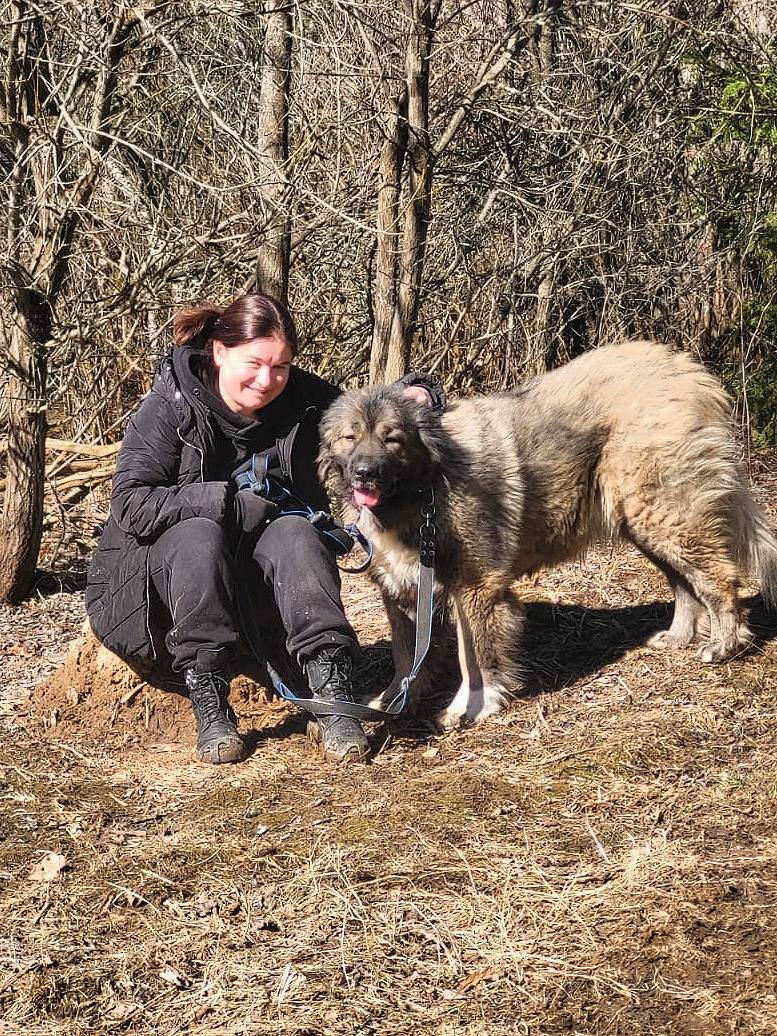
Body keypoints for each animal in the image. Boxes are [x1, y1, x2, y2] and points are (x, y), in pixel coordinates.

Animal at [319, 342, 777, 728]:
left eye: (392, 439)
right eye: (350, 437)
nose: (365, 473)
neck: (424, 488)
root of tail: (689, 372)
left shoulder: (475, 588)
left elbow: (475, 658)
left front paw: (473, 707)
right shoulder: (404, 593)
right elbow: (406, 657)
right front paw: (396, 701)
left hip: (666, 516)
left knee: (717, 579)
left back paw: (726, 643)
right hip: (641, 521)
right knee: (683, 584)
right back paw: (679, 637)